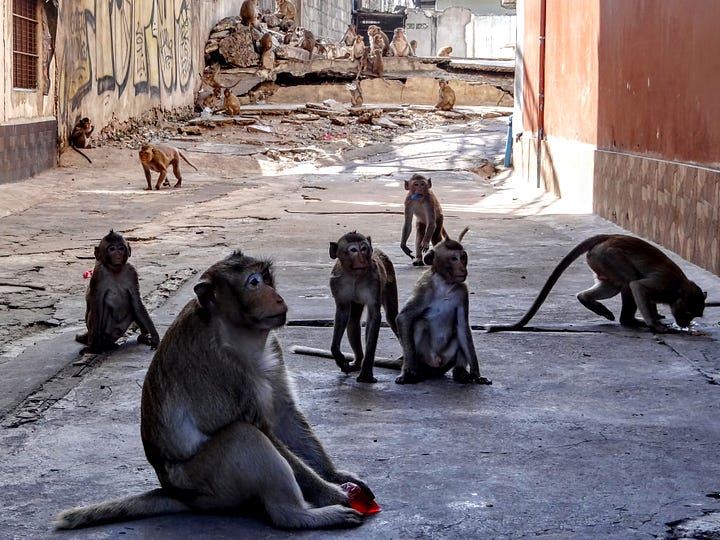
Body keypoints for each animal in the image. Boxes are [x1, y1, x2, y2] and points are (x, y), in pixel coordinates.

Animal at [55, 251, 372, 528]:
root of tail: (179, 494)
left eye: (267, 278)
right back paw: (298, 516)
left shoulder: (273, 349)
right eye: (253, 282)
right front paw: (331, 493)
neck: (233, 329)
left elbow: (285, 414)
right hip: (207, 482)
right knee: (244, 436)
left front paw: (335, 476)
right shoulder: (221, 367)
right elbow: (262, 428)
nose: (277, 297)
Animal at [330, 232, 400, 384]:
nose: (362, 260)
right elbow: (342, 313)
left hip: (389, 280)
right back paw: (357, 361)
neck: (354, 276)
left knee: (391, 317)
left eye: (363, 248)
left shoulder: (375, 281)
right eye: (353, 250)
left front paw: (366, 373)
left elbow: (374, 317)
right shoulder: (336, 283)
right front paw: (338, 356)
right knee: (353, 320)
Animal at [394, 227, 490, 384]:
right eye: (454, 258)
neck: (445, 284)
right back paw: (417, 369)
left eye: (463, 257)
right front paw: (408, 371)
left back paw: (460, 372)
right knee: (419, 323)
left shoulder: (463, 292)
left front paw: (476, 374)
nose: (462, 269)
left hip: (446, 360)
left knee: (459, 333)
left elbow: (463, 326)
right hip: (426, 357)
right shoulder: (424, 288)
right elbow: (404, 317)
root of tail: (436, 364)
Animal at [486, 233, 704, 334]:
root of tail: (609, 237)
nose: (684, 323)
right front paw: (656, 325)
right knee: (629, 281)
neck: (678, 288)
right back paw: (628, 320)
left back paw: (587, 299)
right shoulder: (664, 284)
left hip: (600, 259)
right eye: (688, 312)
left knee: (615, 285)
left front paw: (657, 316)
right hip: (609, 256)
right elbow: (638, 287)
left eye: (694, 315)